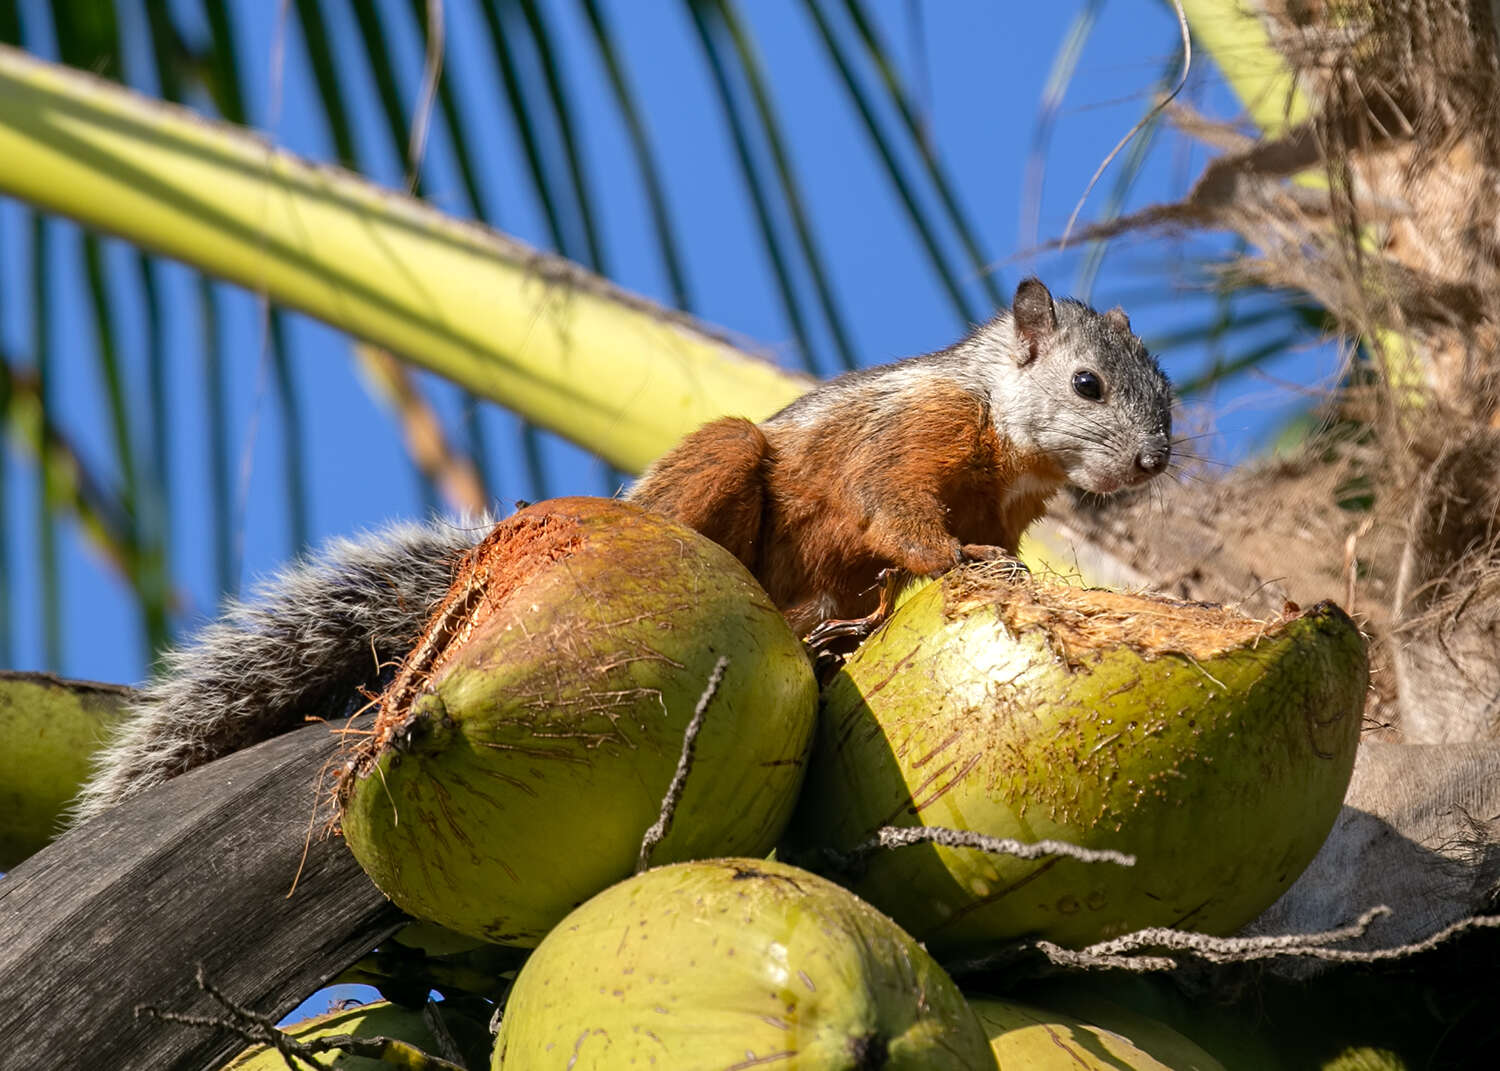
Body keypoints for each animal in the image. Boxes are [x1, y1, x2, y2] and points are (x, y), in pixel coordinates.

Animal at [70, 279, 1170, 822]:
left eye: (1164, 385)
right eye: (1086, 385)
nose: (1155, 458)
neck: (1002, 426)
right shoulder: (901, 445)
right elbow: (898, 514)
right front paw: (958, 565)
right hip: (717, 466)